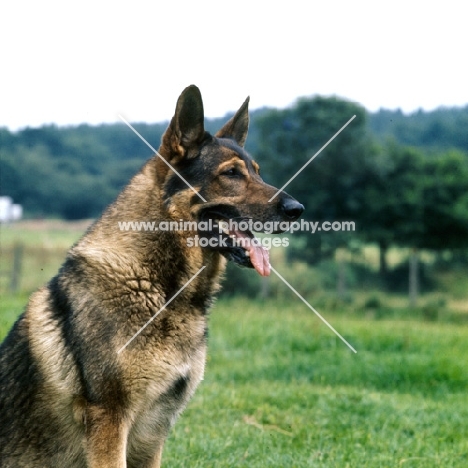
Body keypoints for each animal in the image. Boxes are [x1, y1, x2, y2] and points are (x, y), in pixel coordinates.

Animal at [0, 86, 304, 466]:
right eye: (232, 173)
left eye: (258, 172)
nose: (298, 209)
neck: (158, 287)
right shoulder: (110, 420)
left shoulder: (153, 433)